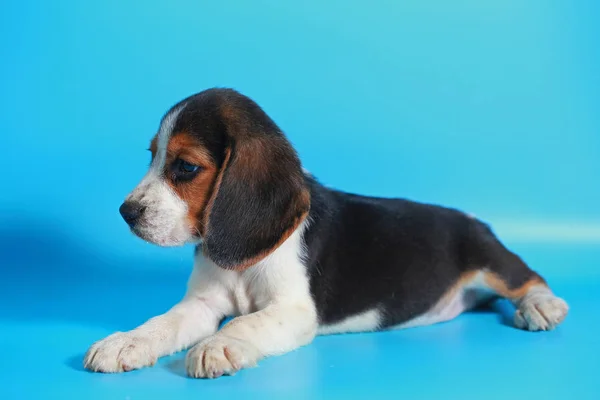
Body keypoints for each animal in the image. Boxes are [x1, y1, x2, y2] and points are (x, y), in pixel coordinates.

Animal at [83, 87, 568, 378]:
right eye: (152, 156)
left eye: (185, 167)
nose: (126, 212)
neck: (245, 262)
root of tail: (475, 218)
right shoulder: (201, 305)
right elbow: (162, 323)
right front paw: (125, 342)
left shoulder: (296, 310)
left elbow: (244, 321)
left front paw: (218, 345)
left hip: (489, 257)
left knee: (528, 278)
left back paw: (541, 307)